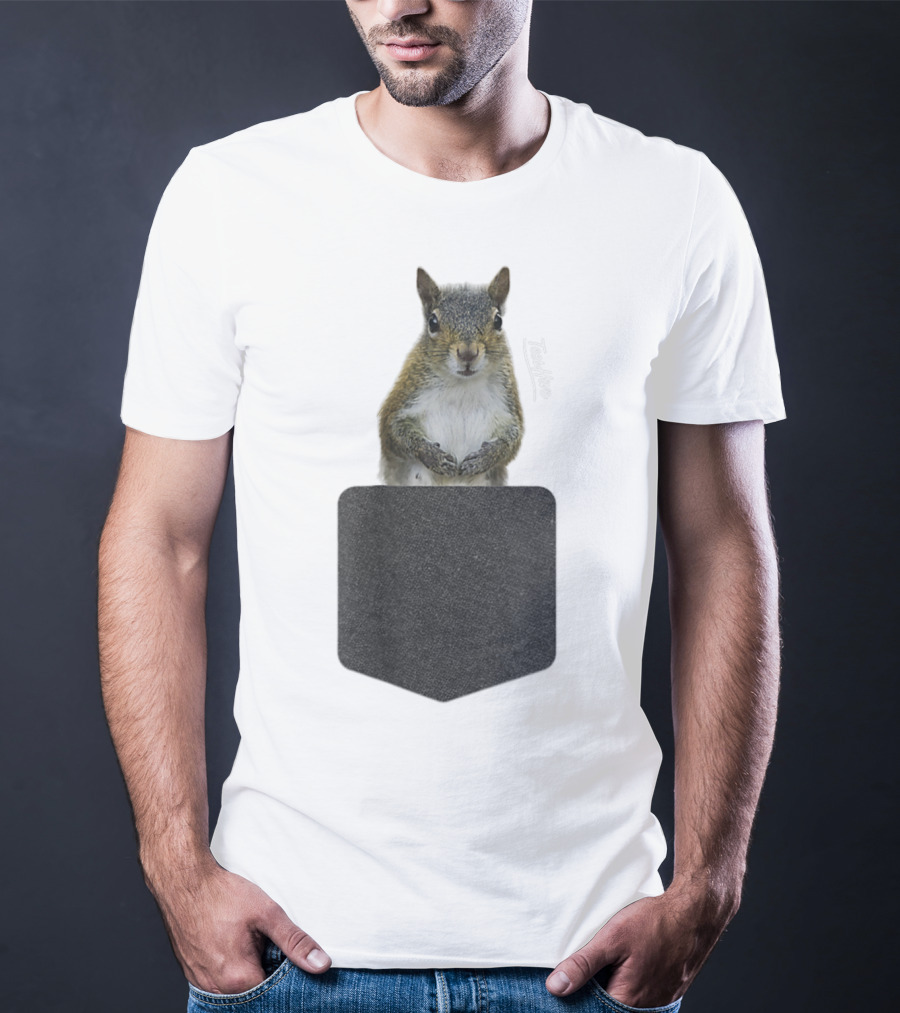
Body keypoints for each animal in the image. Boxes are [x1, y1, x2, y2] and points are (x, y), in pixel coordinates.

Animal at [378, 266, 524, 487]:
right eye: (433, 322)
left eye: (498, 321)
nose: (467, 353)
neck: (462, 384)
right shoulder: (405, 397)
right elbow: (395, 432)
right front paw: (433, 457)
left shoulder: (507, 403)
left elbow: (512, 440)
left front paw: (484, 458)